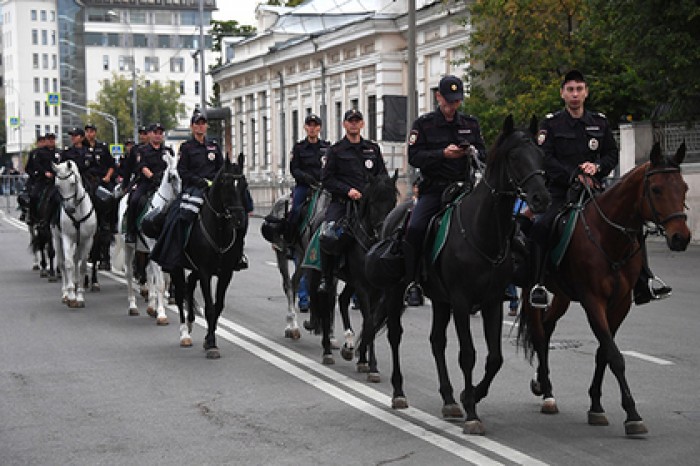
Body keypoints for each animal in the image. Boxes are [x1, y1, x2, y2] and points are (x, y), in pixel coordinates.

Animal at [52, 160, 98, 310]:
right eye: (57, 185)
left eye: (73, 183)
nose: (69, 209)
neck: (78, 211)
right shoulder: (67, 238)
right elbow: (68, 264)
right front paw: (72, 296)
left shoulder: (88, 240)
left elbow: (82, 266)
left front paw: (80, 296)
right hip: (57, 239)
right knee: (62, 263)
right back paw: (65, 294)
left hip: (79, 243)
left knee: (77, 260)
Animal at [115, 153, 180, 324]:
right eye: (173, 176)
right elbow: (160, 283)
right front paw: (162, 315)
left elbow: (164, 280)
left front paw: (156, 308)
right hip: (128, 247)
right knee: (130, 273)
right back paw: (133, 306)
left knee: (149, 274)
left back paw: (151, 306)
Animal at [172, 155, 249, 358]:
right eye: (226, 184)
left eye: (244, 184)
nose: (240, 220)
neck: (219, 230)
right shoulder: (205, 272)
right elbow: (210, 307)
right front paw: (212, 343)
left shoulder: (226, 273)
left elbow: (218, 305)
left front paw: (209, 339)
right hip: (175, 266)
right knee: (180, 292)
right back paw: (184, 332)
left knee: (190, 283)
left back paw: (191, 320)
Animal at [308, 169, 400, 376]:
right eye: (373, 202)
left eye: (393, 201)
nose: (385, 232)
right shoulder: (363, 287)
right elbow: (369, 323)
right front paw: (370, 364)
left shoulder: (377, 291)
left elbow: (369, 324)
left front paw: (365, 361)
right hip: (322, 275)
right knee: (325, 307)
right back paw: (327, 350)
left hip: (350, 281)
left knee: (342, 300)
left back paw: (348, 343)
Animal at [374, 115, 548, 434]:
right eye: (514, 157)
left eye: (541, 154)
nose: (541, 198)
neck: (482, 230)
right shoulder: (462, 302)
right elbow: (468, 354)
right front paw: (472, 414)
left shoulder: (491, 302)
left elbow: (495, 358)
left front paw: (471, 395)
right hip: (397, 292)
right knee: (395, 334)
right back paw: (399, 393)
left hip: (440, 301)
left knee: (436, 341)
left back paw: (449, 399)